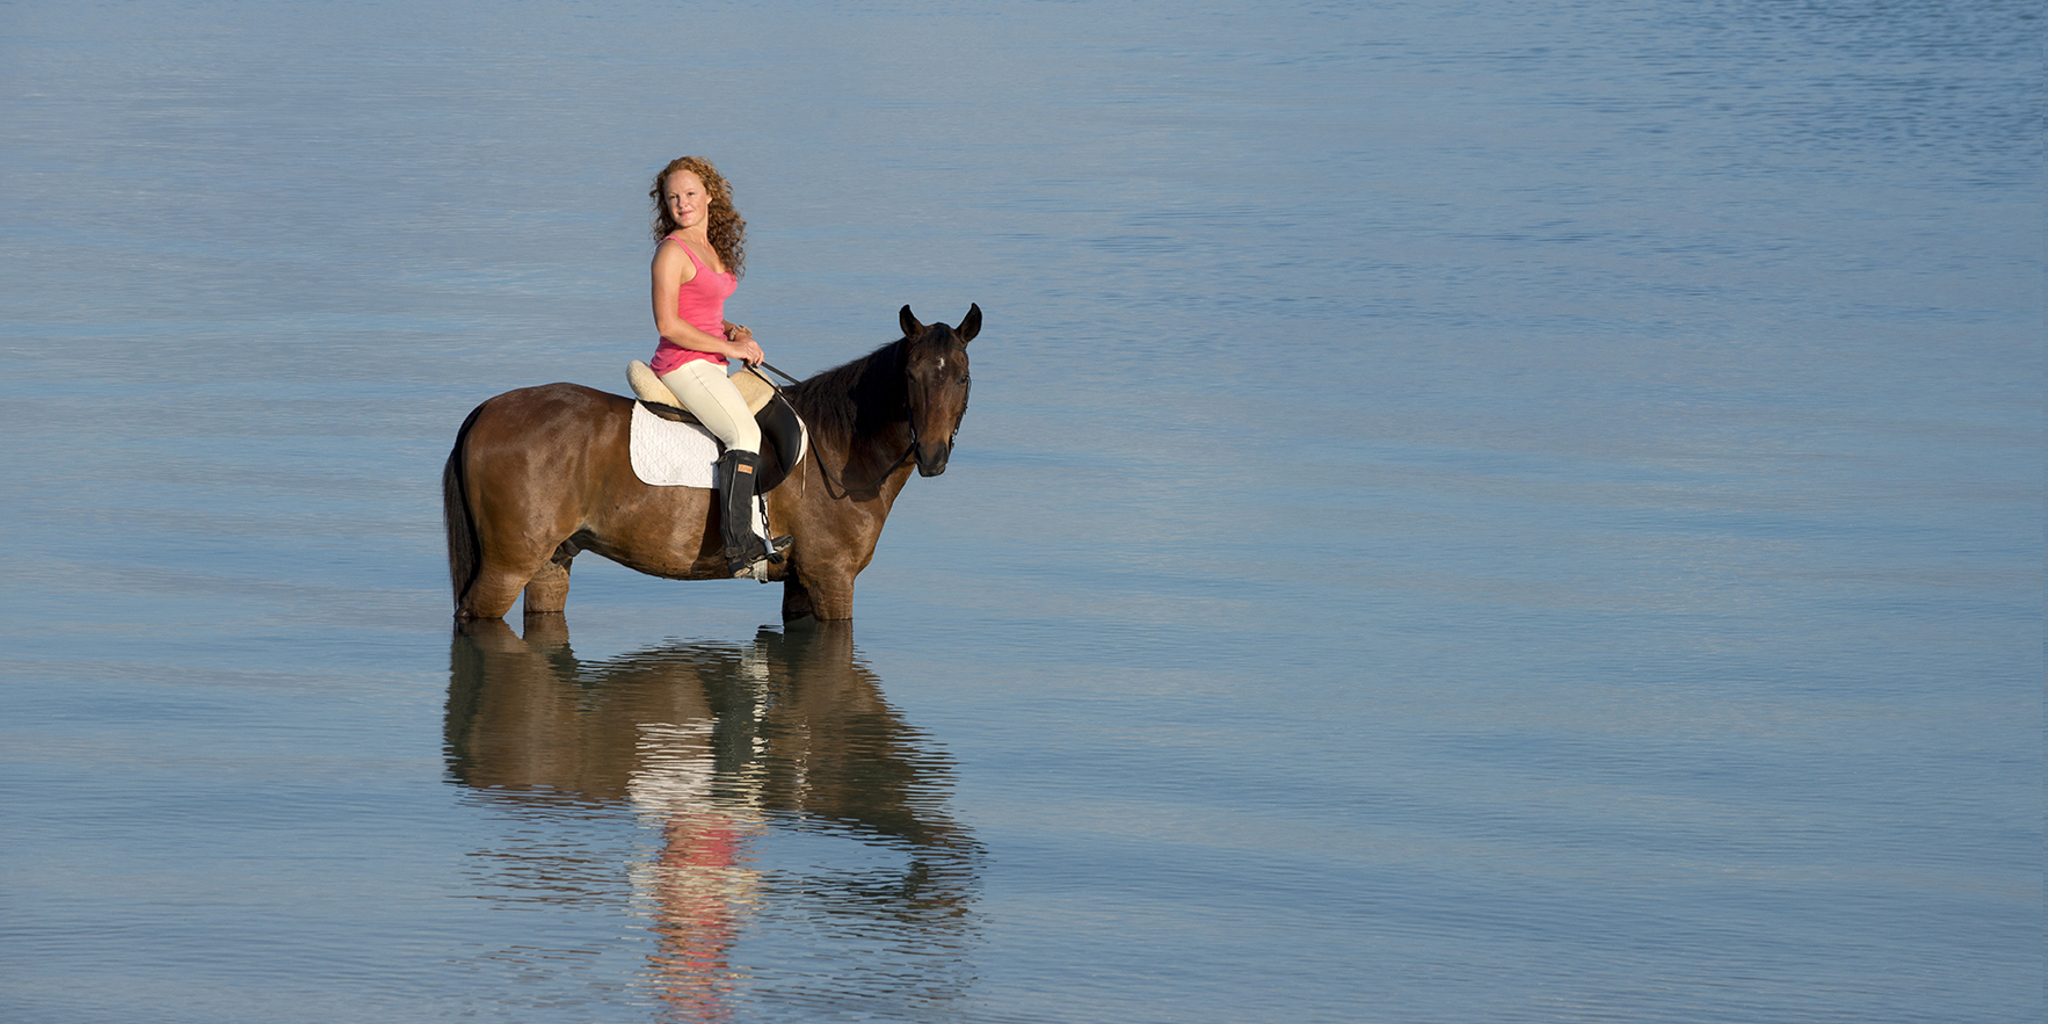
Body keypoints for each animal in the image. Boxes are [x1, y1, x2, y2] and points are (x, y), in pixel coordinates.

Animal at [443, 304, 979, 623]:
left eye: (963, 377)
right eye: (909, 376)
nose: (932, 456)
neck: (837, 448)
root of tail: (487, 409)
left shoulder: (802, 584)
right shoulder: (832, 578)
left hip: (552, 561)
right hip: (509, 565)